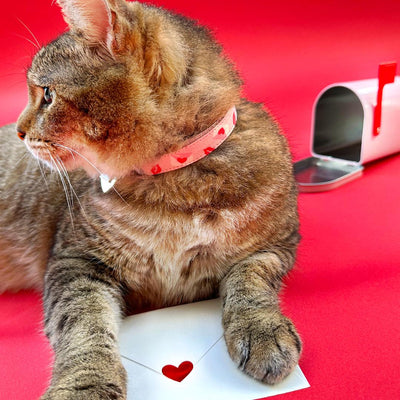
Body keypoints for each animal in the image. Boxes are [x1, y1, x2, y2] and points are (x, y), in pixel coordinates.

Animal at [0, 1, 300, 398]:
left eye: (47, 94)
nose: (20, 131)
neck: (176, 192)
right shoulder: (73, 260)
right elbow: (83, 326)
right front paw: (86, 382)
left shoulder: (278, 244)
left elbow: (250, 278)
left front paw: (261, 329)